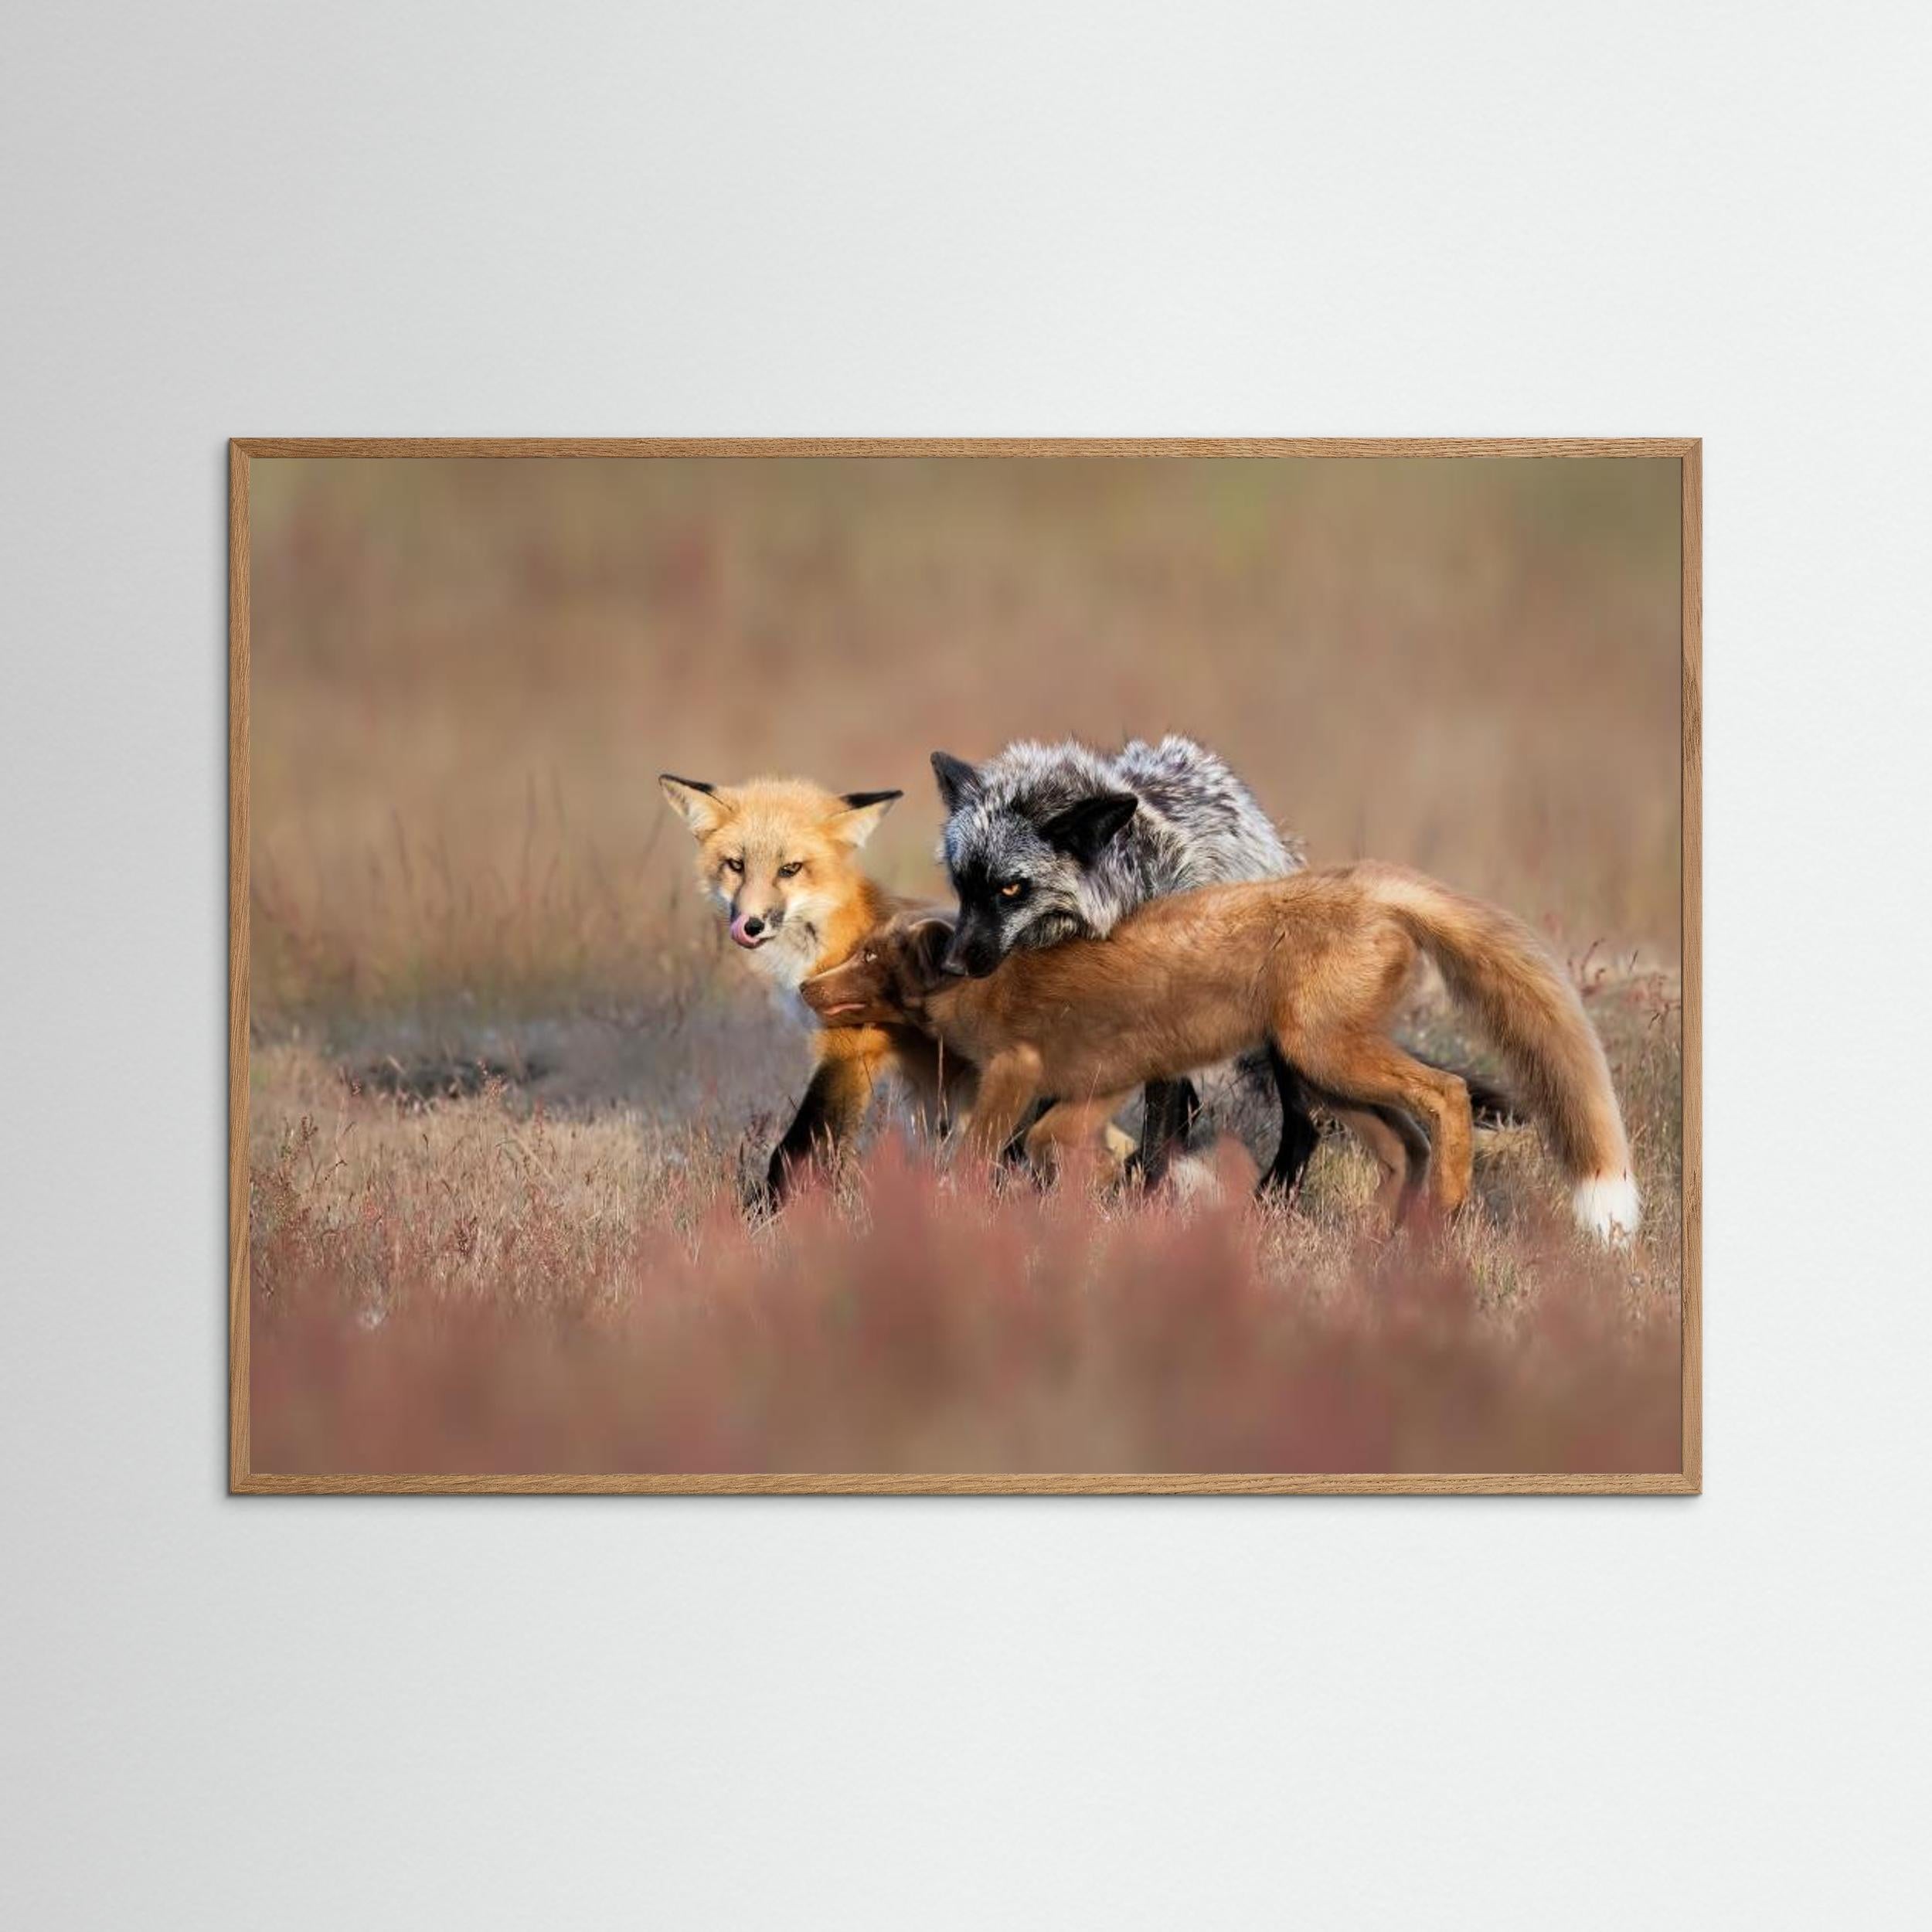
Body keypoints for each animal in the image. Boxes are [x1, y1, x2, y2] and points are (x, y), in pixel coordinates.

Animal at [800, 862, 1641, 1244]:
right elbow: (1055, 1144)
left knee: (1447, 1095)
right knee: (1404, 1142)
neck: (980, 985)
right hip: (1323, 1075)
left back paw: (1446, 1208)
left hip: (1328, 1056)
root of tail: (1371, 884)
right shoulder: (1099, 1083)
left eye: (870, 959)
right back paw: (1380, 1237)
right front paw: (1100, 1194)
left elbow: (983, 1151)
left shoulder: (1022, 1070)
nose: (807, 987)